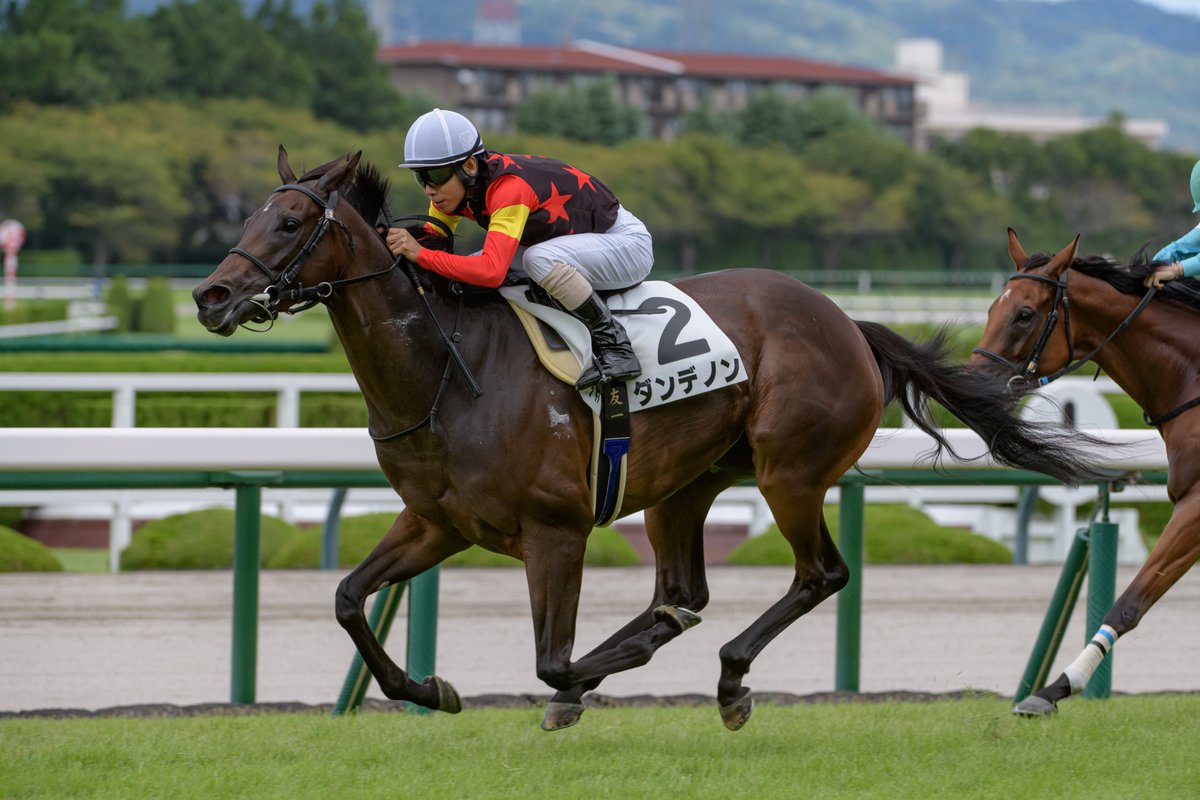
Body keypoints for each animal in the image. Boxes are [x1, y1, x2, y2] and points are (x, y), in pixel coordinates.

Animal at [193, 149, 1103, 731]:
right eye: (250, 214)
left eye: (290, 221)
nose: (211, 295)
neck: (454, 370)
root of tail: (848, 322)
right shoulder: (439, 521)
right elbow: (349, 599)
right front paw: (428, 688)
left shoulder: (554, 531)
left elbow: (552, 661)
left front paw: (570, 686)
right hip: (684, 486)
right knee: (684, 588)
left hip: (791, 471)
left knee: (818, 574)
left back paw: (730, 678)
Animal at [971, 228, 1198, 716]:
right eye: (992, 308)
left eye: (1024, 314)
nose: (972, 383)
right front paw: (1048, 690)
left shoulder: (1197, 504)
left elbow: (1129, 603)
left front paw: (1058, 685)